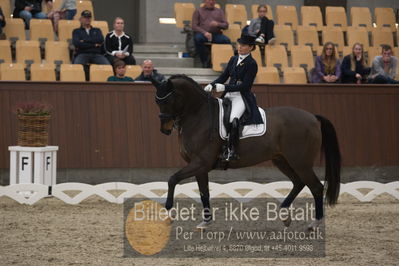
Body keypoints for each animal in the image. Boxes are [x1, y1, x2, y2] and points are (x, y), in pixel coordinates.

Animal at [150, 74, 340, 229]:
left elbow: (172, 179)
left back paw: (314, 224)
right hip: (282, 160)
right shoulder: (199, 166)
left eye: (167, 100)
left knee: (316, 187)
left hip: (300, 162)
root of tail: (313, 117)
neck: (199, 115)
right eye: (157, 101)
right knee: (299, 183)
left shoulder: (201, 163)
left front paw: (168, 211)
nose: (165, 129)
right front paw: (206, 221)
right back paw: (284, 216)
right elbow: (204, 192)